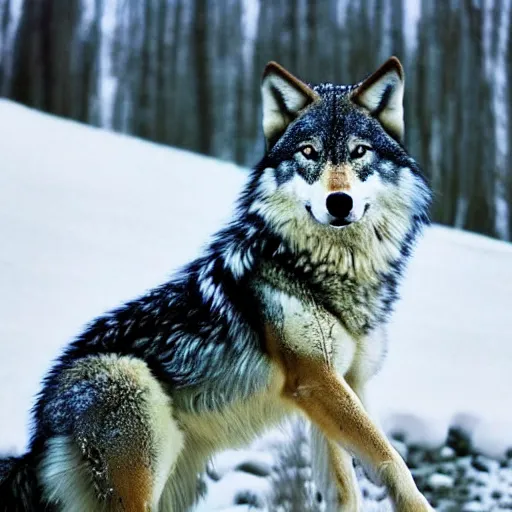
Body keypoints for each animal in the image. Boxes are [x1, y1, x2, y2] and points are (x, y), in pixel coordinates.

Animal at [0, 57, 432, 512]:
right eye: (309, 152)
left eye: (359, 151)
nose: (339, 202)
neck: (320, 268)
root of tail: (38, 435)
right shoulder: (316, 378)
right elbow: (391, 458)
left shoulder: (344, 383)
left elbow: (345, 489)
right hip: (138, 411)